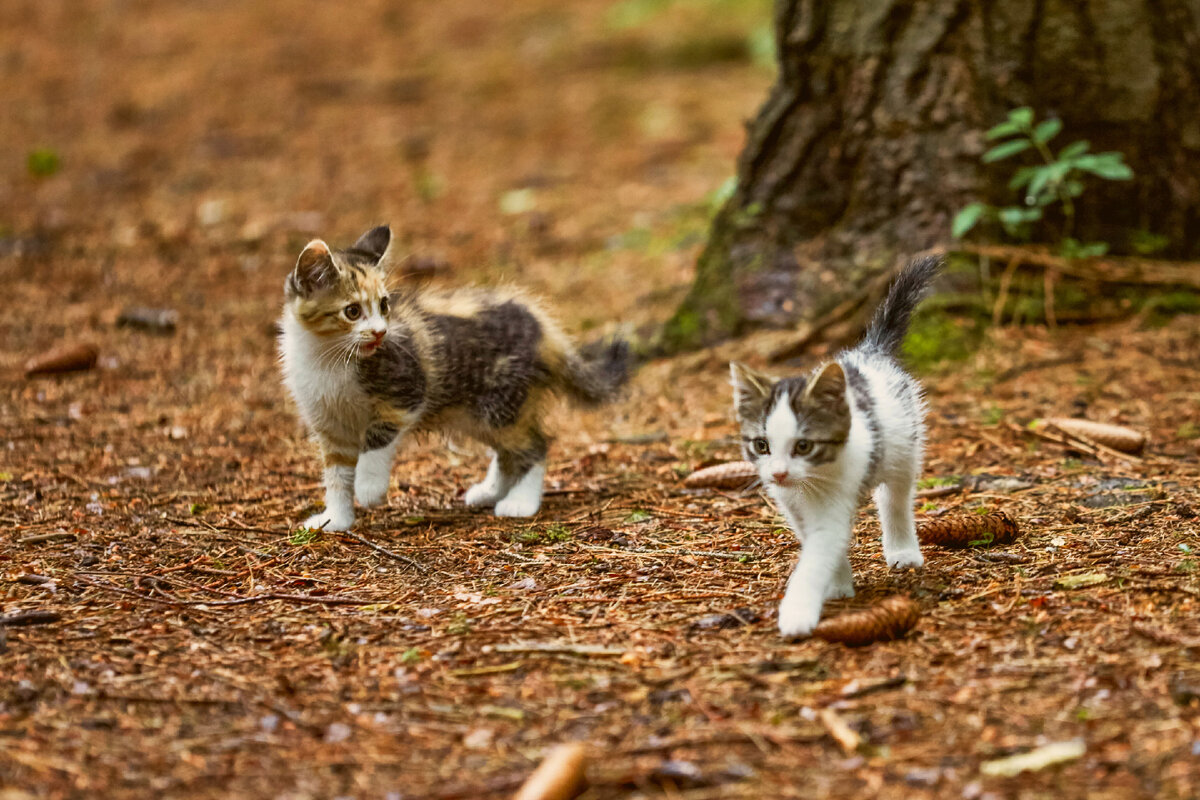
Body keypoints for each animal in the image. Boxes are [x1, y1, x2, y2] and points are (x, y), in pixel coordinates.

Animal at [278, 224, 628, 532]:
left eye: (384, 305)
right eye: (352, 311)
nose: (380, 333)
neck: (328, 357)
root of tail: (542, 325)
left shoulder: (406, 392)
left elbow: (377, 440)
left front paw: (368, 487)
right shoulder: (330, 425)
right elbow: (336, 476)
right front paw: (335, 520)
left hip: (500, 404)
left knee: (536, 445)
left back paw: (521, 502)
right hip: (480, 412)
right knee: (509, 451)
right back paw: (492, 491)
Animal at [724, 256, 940, 638]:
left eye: (804, 446)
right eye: (762, 445)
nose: (779, 473)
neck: (808, 484)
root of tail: (870, 352)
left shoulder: (837, 494)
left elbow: (820, 551)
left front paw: (797, 613)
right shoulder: (792, 505)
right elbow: (821, 544)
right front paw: (837, 585)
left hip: (905, 443)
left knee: (895, 498)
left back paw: (903, 550)